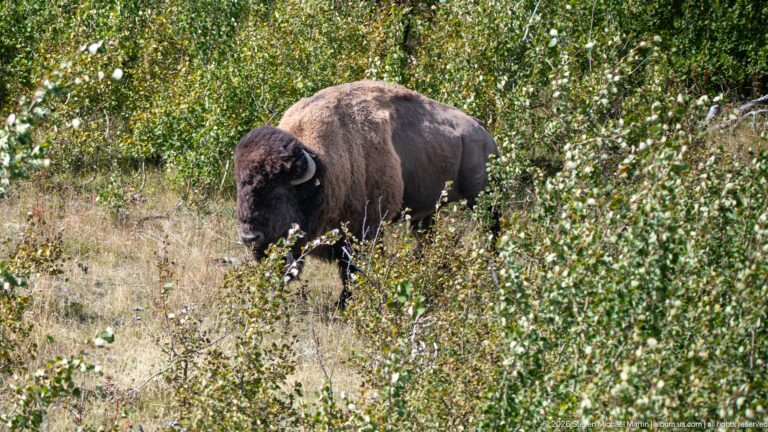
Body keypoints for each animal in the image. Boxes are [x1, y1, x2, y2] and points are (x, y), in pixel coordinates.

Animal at [234, 80, 498, 307]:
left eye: (278, 191)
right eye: (240, 186)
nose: (250, 237)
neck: (326, 168)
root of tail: (482, 132)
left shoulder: (366, 229)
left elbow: (353, 269)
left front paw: (346, 302)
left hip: (482, 197)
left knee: (491, 229)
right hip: (427, 211)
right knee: (424, 237)